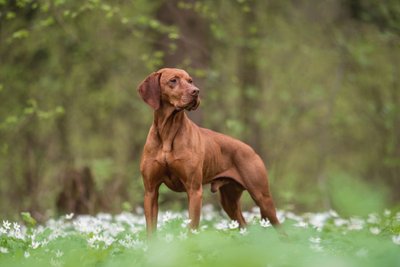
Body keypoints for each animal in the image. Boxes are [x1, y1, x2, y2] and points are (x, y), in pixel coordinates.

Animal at [138, 68, 278, 236]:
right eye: (173, 80)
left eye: (190, 80)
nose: (196, 91)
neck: (167, 132)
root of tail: (251, 150)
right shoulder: (150, 191)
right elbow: (150, 231)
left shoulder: (194, 190)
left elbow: (192, 228)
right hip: (229, 201)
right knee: (244, 225)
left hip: (262, 198)